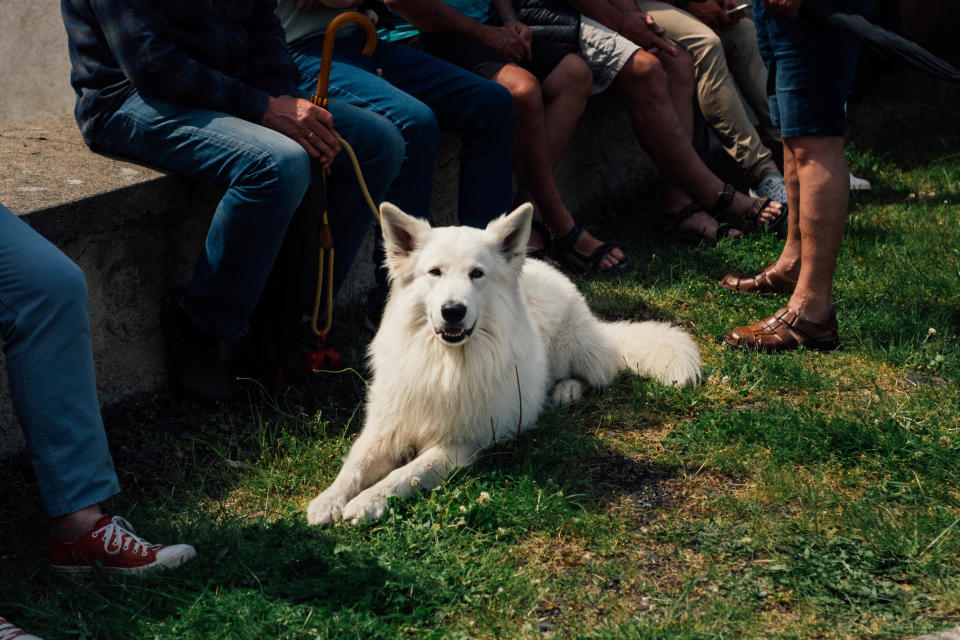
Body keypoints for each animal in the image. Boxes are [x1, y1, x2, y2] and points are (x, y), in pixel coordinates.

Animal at [306, 201, 696, 524]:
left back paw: (566, 391)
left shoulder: (463, 443)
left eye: (476, 274)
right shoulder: (386, 427)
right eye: (435, 272)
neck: (444, 361)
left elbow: (409, 472)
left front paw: (367, 501)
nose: (453, 311)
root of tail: (540, 264)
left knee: (599, 372)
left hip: (568, 346)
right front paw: (329, 500)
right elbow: (355, 465)